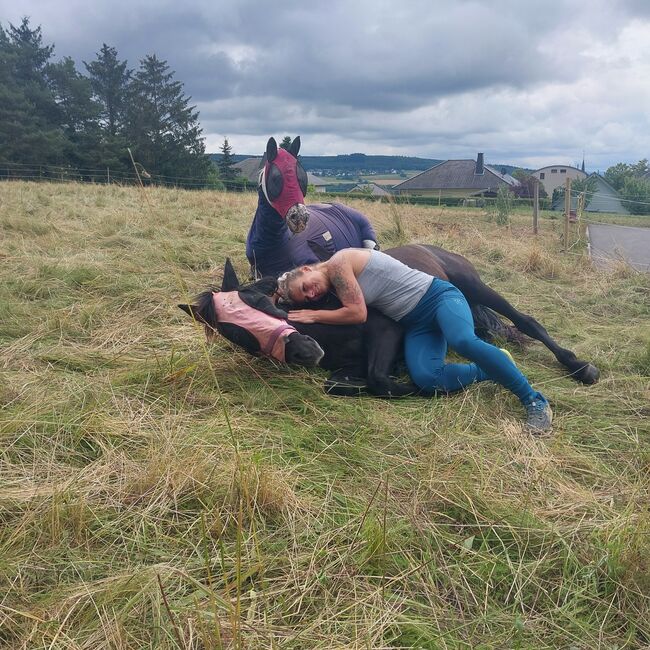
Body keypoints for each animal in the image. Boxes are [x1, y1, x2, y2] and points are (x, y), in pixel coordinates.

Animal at [178, 243, 596, 394]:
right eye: (239, 335)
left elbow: (381, 379)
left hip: (472, 286)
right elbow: (337, 382)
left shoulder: (387, 328)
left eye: (263, 303)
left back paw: (579, 367)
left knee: (526, 322)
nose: (304, 352)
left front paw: (402, 379)